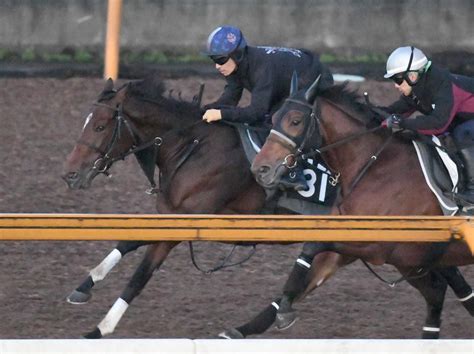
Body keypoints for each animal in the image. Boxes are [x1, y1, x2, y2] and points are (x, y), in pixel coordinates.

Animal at [61, 76, 350, 338]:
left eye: (99, 126)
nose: (70, 175)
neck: (192, 148)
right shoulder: (172, 215)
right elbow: (128, 242)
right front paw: (85, 285)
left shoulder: (187, 222)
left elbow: (139, 276)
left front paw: (100, 329)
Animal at [252, 75, 474, 338]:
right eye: (274, 117)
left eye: (295, 121)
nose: (260, 169)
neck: (374, 167)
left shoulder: (384, 248)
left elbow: (313, 245)